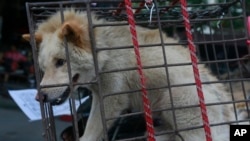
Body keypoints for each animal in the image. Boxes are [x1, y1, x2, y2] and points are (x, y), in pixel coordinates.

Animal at [23, 9, 236, 140]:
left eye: (60, 62)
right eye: (43, 67)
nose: (39, 97)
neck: (105, 52)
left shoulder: (111, 99)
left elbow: (92, 129)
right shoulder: (100, 95)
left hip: (179, 104)